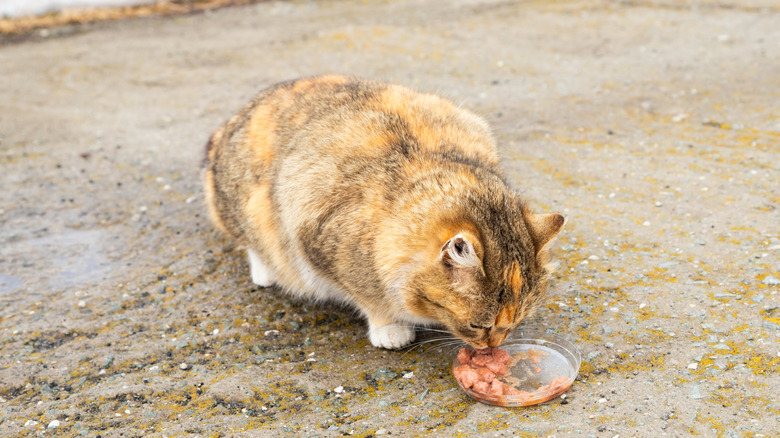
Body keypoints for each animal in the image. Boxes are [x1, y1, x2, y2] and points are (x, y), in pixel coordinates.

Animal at [204, 75, 564, 350]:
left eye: (517, 320)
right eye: (479, 325)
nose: (495, 346)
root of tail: (231, 122)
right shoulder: (318, 241)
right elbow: (369, 296)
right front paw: (389, 327)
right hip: (246, 207)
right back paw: (266, 272)